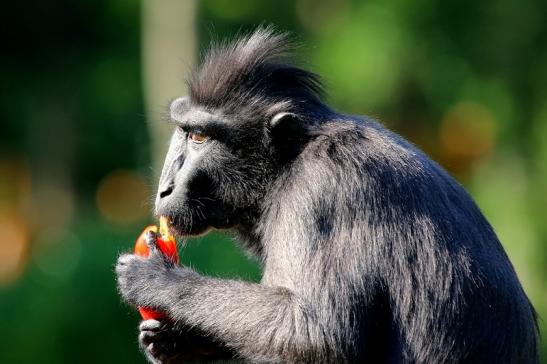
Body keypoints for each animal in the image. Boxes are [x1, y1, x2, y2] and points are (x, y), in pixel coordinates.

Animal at [115, 27, 540, 362]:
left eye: (200, 137)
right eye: (183, 129)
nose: (165, 188)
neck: (288, 163)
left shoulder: (319, 193)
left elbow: (316, 337)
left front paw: (161, 282)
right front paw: (179, 338)